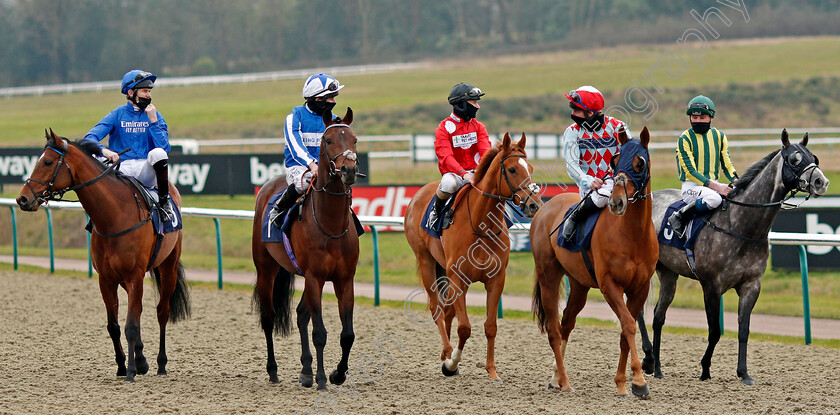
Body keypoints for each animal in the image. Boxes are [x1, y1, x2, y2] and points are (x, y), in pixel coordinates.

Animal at [16, 130, 190, 384]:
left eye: (47, 162)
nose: (22, 199)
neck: (114, 216)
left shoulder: (134, 275)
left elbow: (130, 325)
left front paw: (130, 372)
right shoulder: (107, 279)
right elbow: (115, 326)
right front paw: (122, 367)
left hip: (169, 266)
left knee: (162, 311)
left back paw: (161, 363)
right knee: (139, 310)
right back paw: (142, 359)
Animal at [254, 106, 362, 390]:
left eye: (354, 139)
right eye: (329, 140)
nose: (348, 170)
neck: (331, 224)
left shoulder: (344, 279)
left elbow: (347, 334)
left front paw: (337, 374)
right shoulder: (315, 277)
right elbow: (320, 332)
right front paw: (323, 378)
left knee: (302, 314)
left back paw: (305, 371)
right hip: (265, 268)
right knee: (268, 318)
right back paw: (273, 371)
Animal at [404, 134, 540, 384]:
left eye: (531, 168)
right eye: (513, 169)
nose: (534, 204)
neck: (480, 225)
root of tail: (417, 195)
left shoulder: (496, 280)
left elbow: (491, 326)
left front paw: (492, 371)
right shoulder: (458, 277)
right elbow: (465, 328)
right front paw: (452, 363)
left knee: (448, 311)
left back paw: (445, 355)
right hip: (426, 262)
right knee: (437, 309)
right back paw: (447, 354)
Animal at [532, 127, 656, 400]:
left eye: (640, 163)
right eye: (615, 160)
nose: (616, 202)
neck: (633, 235)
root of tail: (544, 208)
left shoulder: (640, 288)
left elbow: (625, 331)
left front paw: (623, 383)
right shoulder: (610, 285)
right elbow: (628, 325)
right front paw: (639, 381)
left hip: (579, 284)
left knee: (567, 323)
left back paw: (556, 377)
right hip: (549, 277)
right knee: (554, 330)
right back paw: (564, 381)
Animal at [640, 131, 832, 386]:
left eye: (814, 157)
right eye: (794, 159)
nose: (822, 182)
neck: (742, 227)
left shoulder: (751, 285)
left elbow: (743, 330)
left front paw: (744, 373)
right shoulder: (711, 286)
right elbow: (715, 331)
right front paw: (705, 369)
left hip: (668, 274)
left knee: (658, 316)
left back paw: (658, 367)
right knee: (637, 311)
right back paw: (647, 359)